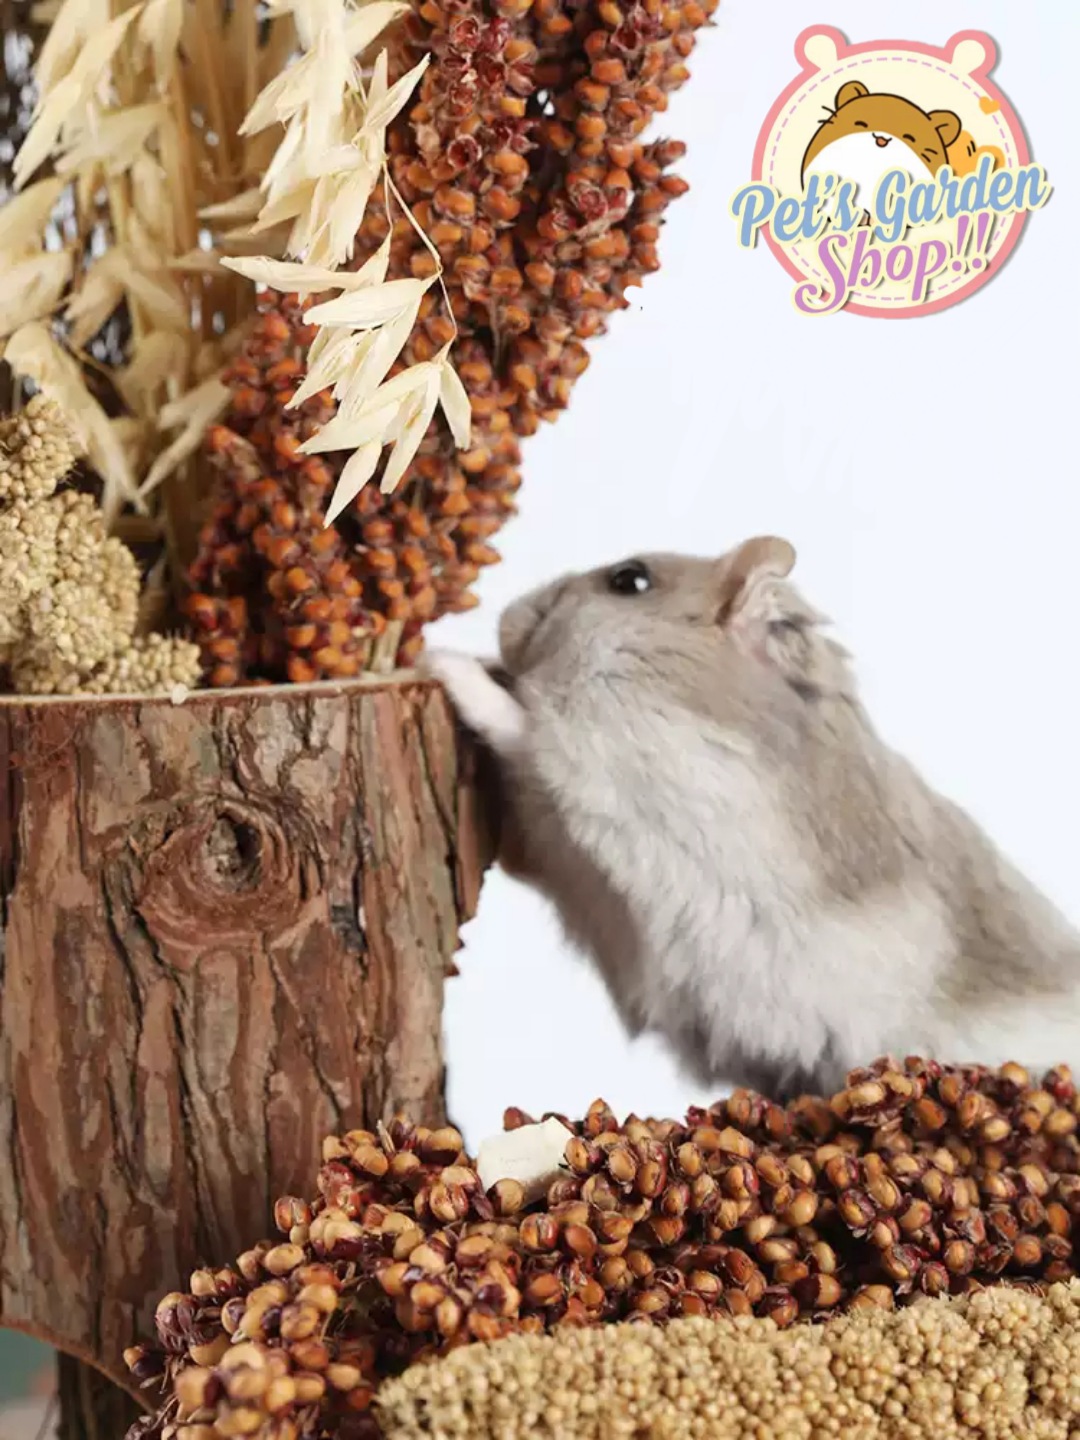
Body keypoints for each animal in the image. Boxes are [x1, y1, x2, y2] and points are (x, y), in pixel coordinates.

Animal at [422, 538, 1080, 1101]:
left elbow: (522, 729)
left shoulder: (611, 781)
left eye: (629, 581)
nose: (507, 617)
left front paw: (444, 661)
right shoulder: (573, 867)